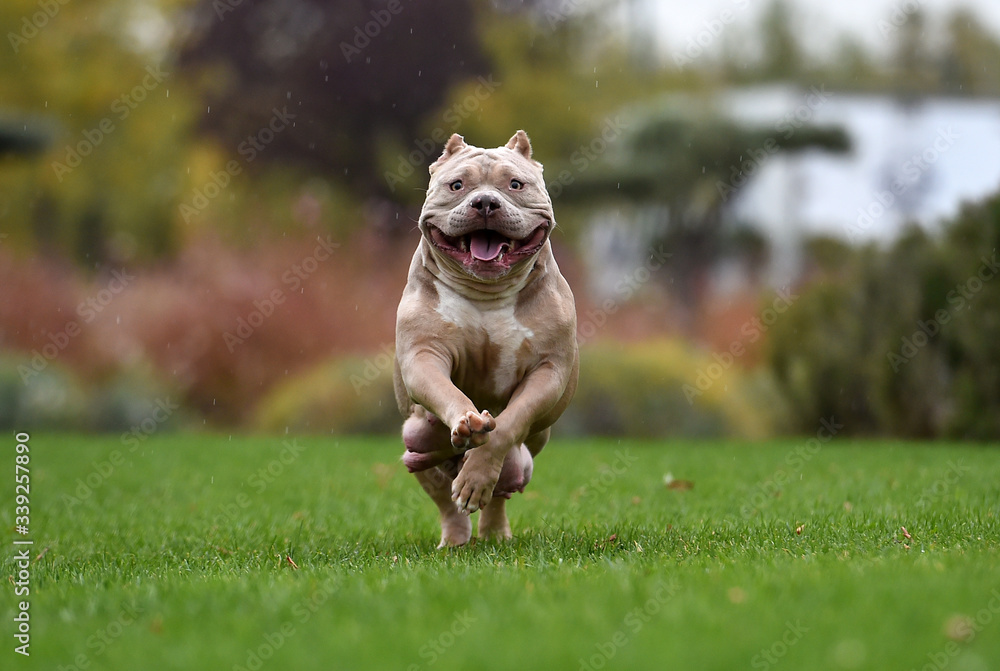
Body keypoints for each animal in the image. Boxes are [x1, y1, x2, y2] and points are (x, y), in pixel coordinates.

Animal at [392, 130, 580, 544]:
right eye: (457, 185)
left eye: (515, 184)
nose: (485, 202)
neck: (486, 293)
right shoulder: (423, 355)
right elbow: (444, 390)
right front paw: (467, 419)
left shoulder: (548, 373)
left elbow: (508, 425)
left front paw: (477, 475)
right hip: (419, 456)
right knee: (439, 491)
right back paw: (455, 537)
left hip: (529, 453)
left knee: (502, 489)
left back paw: (494, 532)